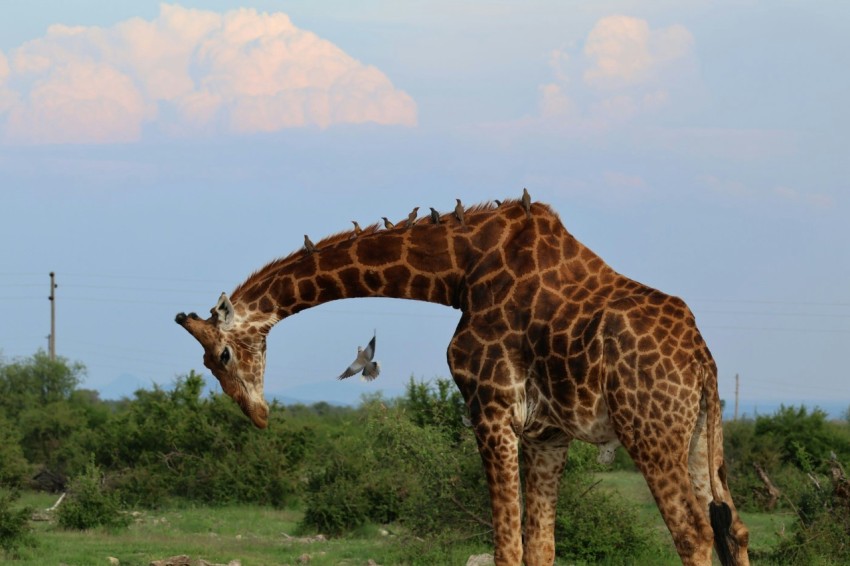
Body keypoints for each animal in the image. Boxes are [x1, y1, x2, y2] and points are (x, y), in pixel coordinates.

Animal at [176, 197, 744, 564]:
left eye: (222, 354)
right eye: (207, 366)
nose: (258, 415)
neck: (457, 273)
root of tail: (703, 362)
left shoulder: (490, 408)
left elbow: (507, 549)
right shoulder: (546, 433)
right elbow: (539, 548)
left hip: (649, 430)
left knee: (693, 534)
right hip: (698, 434)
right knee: (731, 527)